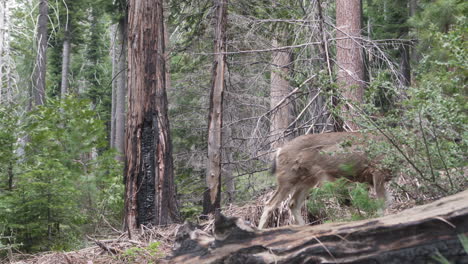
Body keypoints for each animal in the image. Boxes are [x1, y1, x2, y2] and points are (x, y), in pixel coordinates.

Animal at [258, 132, 390, 229]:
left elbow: (386, 200)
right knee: (270, 203)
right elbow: (382, 201)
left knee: (293, 203)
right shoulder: (377, 171)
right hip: (287, 178)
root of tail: (279, 151)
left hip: (308, 181)